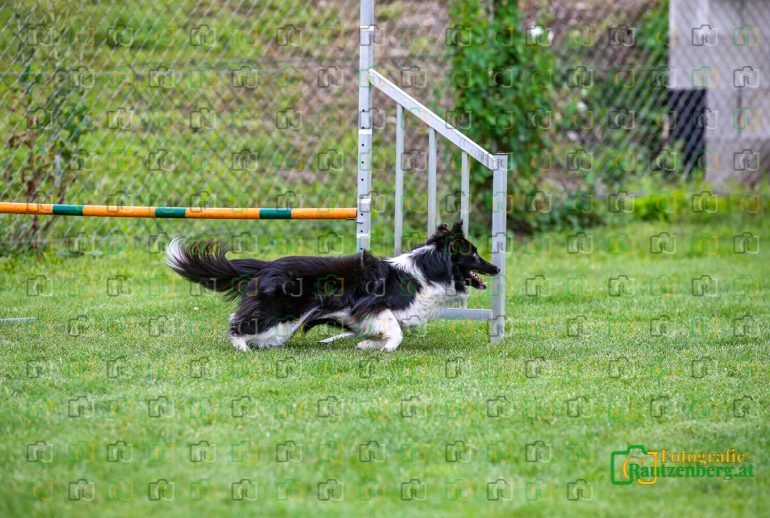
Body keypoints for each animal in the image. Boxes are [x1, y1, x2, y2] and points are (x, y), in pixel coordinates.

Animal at [166, 220, 499, 351]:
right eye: (474, 255)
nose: (496, 268)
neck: (429, 270)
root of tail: (268, 265)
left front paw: (367, 345)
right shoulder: (373, 307)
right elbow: (397, 332)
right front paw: (385, 349)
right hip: (283, 313)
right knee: (238, 322)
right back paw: (241, 347)